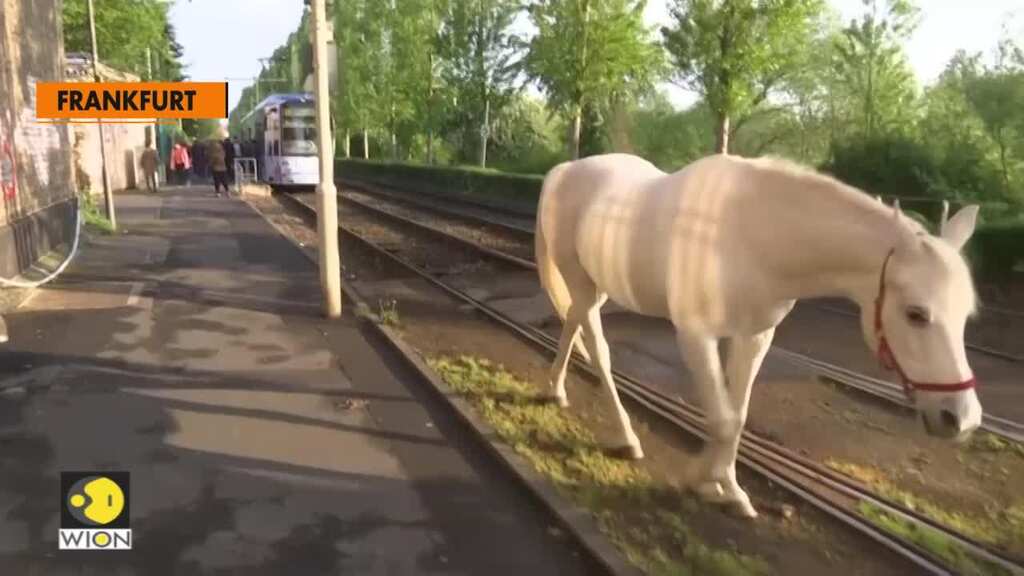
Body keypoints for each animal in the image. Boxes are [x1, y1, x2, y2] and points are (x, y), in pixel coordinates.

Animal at [535, 153, 983, 518]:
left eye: (966, 315)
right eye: (916, 314)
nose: (961, 419)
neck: (745, 234)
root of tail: (565, 170)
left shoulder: (754, 336)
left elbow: (737, 415)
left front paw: (722, 486)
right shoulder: (695, 335)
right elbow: (723, 419)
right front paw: (704, 481)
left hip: (597, 284)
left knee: (572, 321)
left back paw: (555, 389)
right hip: (581, 280)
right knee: (598, 348)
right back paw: (626, 437)